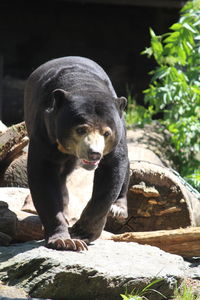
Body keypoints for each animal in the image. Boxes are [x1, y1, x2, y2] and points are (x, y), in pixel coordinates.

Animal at [23, 56, 130, 251]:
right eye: (81, 129)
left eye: (106, 133)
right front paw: (64, 241)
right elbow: (42, 176)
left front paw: (81, 233)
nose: (94, 154)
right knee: (60, 176)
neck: (82, 84)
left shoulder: (118, 133)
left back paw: (118, 208)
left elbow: (112, 171)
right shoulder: (45, 131)